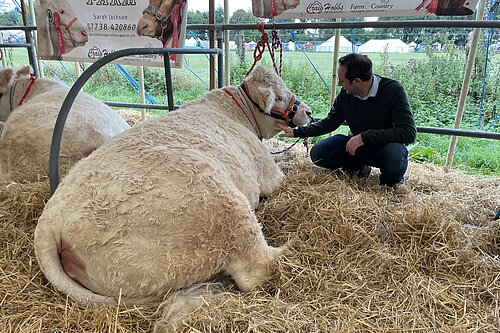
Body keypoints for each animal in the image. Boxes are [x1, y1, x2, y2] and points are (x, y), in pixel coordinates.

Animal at [33, 65, 310, 306]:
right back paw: (289, 248)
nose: (308, 112)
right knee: (254, 271)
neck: (235, 112)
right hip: (222, 205)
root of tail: (51, 219)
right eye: (281, 96)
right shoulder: (267, 172)